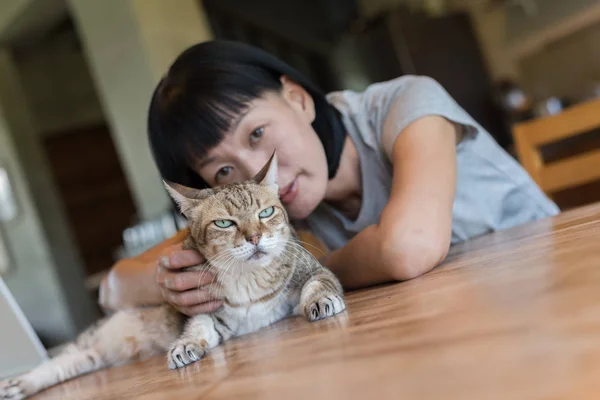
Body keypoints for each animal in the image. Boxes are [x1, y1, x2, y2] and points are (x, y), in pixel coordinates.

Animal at [0, 153, 344, 400]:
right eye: (224, 223)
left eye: (266, 213)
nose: (255, 237)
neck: (247, 278)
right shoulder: (209, 314)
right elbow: (196, 327)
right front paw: (185, 345)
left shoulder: (313, 270)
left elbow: (319, 283)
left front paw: (321, 299)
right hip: (87, 342)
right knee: (58, 360)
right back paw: (18, 382)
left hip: (90, 357)